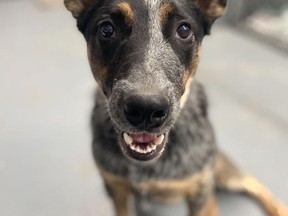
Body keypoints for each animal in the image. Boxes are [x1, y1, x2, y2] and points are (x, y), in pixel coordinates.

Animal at [64, 0, 288, 215]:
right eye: (107, 29)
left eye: (184, 30)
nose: (145, 109)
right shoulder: (115, 187)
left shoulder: (198, 191)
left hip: (223, 172)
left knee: (251, 181)